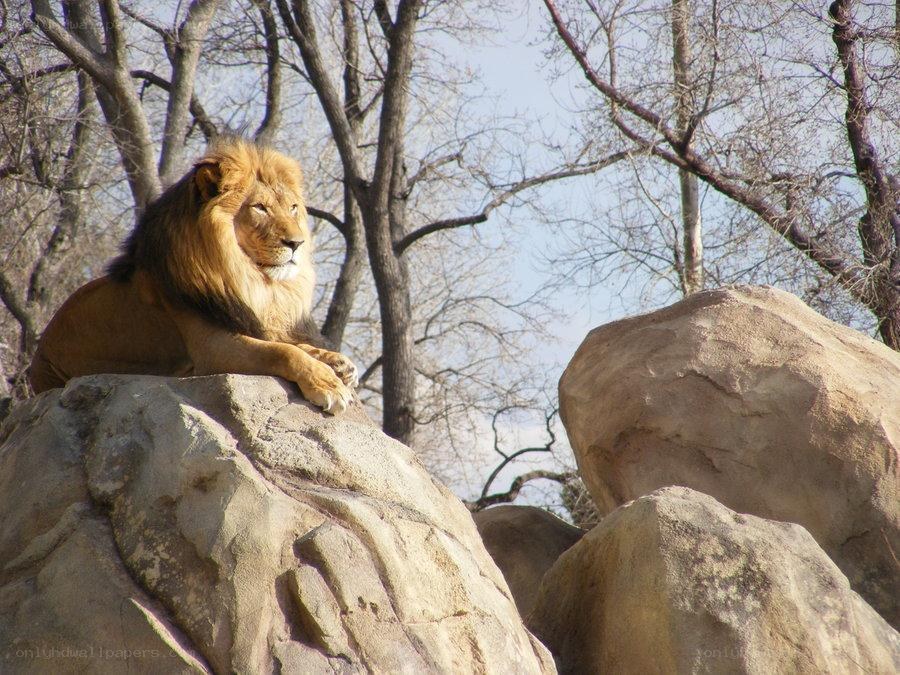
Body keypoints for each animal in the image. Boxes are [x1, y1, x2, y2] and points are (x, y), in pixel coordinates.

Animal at [27, 138, 356, 414]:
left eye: (293, 207)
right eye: (260, 208)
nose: (297, 243)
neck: (247, 279)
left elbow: (291, 344)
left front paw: (338, 362)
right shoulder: (211, 349)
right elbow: (282, 352)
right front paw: (328, 385)